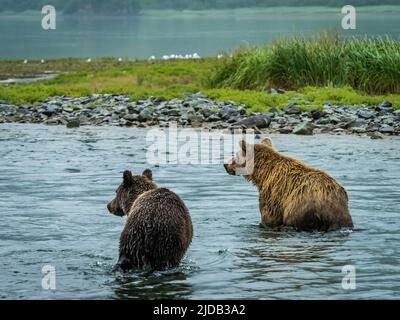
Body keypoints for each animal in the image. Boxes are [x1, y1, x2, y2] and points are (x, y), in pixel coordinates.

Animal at [225, 139, 354, 231]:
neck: (264, 174)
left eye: (235, 155)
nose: (225, 165)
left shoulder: (273, 193)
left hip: (300, 206)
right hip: (342, 212)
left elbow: (269, 217)